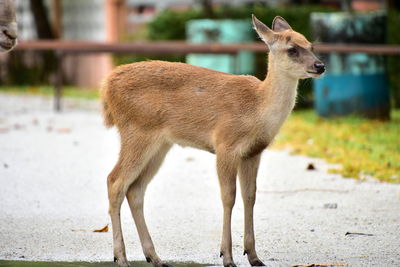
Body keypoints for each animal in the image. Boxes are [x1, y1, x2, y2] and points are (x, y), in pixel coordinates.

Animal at [100, 15, 324, 267]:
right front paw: (227, 256)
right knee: (115, 181)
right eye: (292, 49)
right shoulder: (226, 144)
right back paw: (121, 257)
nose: (320, 66)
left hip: (160, 144)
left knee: (136, 189)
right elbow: (228, 197)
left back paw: (155, 257)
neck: (257, 108)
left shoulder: (253, 152)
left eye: (311, 46)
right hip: (137, 131)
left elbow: (250, 196)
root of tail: (106, 86)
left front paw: (254, 257)